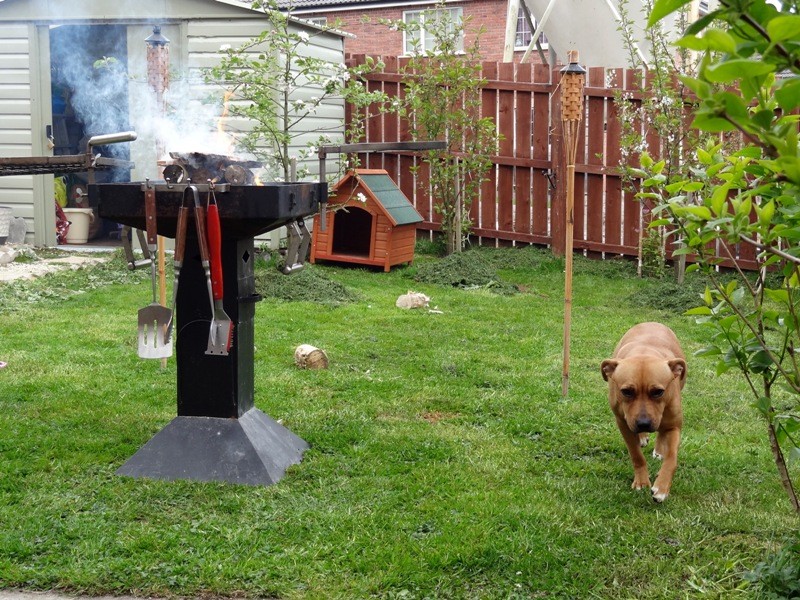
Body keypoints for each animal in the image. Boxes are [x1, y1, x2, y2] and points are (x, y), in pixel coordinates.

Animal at [600, 324, 688, 502]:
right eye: (626, 391)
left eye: (658, 392)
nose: (643, 424)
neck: (644, 352)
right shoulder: (624, 424)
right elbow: (636, 455)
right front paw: (641, 481)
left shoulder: (674, 426)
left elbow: (672, 458)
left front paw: (662, 487)